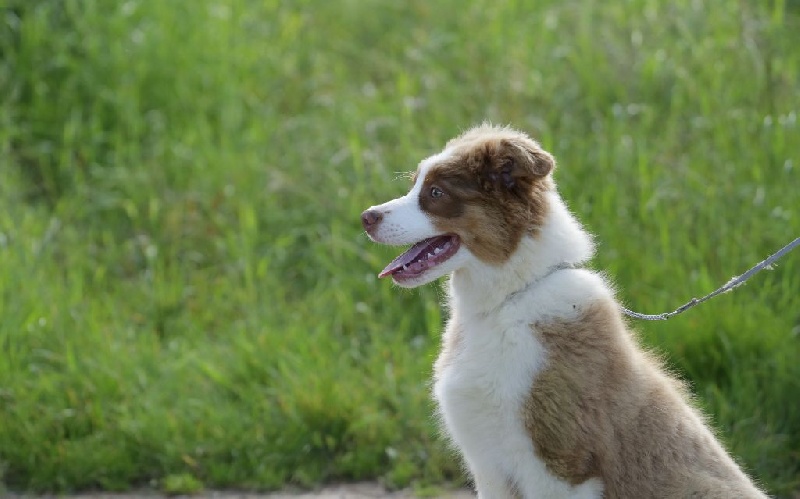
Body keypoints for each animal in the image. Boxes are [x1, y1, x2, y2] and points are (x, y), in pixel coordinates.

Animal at [360, 123, 764, 498]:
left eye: (436, 193)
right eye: (415, 185)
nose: (366, 217)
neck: (506, 302)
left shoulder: (558, 465)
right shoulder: (489, 467)